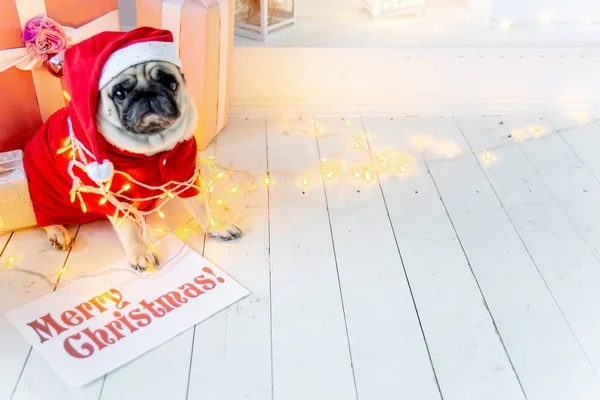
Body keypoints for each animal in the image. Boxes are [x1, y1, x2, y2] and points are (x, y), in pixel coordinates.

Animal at [41, 60, 243, 268]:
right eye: (119, 93)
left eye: (171, 84)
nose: (147, 93)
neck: (150, 145)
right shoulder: (113, 196)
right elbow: (128, 227)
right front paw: (140, 252)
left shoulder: (185, 176)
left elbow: (201, 207)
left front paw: (216, 226)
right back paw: (57, 231)